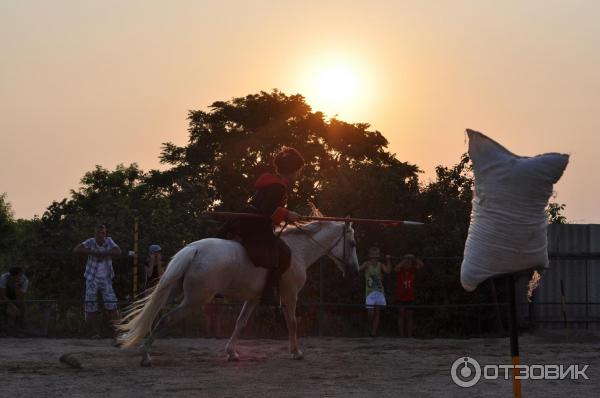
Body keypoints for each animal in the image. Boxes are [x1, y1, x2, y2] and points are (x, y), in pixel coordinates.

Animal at [119, 219, 358, 366]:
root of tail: (193, 249)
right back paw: (146, 356)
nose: (354, 270)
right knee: (166, 319)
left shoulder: (253, 299)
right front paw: (296, 352)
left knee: (156, 315)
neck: (297, 251)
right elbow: (292, 323)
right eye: (353, 243)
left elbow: (240, 323)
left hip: (173, 291)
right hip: (195, 300)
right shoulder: (290, 296)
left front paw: (232, 353)